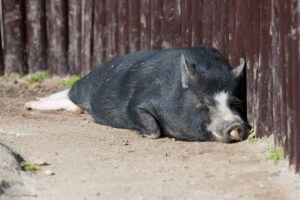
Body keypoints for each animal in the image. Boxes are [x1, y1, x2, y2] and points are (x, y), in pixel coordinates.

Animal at [25, 46, 247, 143]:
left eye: (234, 103)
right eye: (203, 102)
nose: (236, 125)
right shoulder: (136, 103)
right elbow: (153, 131)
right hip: (83, 85)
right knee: (69, 92)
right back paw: (28, 105)